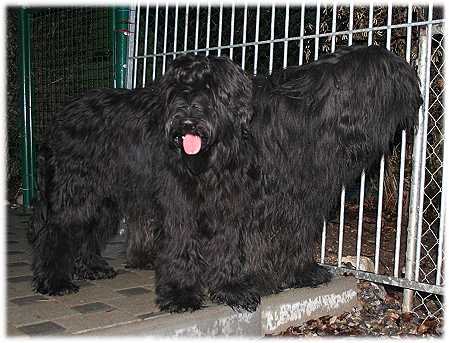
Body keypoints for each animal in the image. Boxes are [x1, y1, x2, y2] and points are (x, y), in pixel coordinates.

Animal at [31, 43, 420, 314]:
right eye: (398, 80)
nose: (418, 98)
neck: (315, 116)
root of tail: (60, 115)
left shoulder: (292, 202)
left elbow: (292, 238)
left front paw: (300, 274)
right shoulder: (234, 200)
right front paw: (252, 283)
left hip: (104, 195)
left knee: (88, 230)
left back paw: (91, 267)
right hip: (76, 190)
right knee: (58, 232)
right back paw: (54, 280)